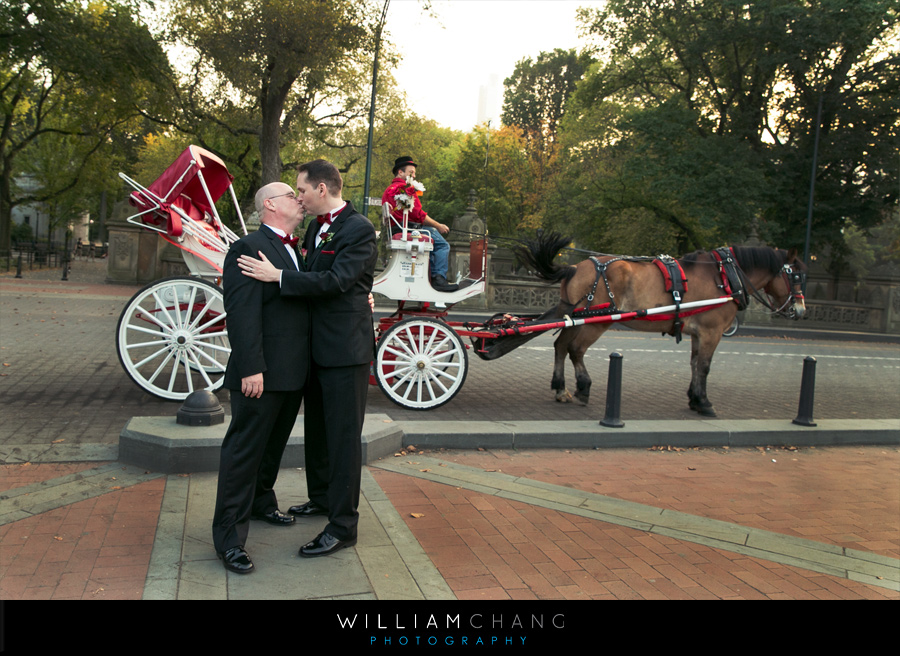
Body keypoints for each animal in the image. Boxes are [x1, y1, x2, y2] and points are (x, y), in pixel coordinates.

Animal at [496, 234, 804, 416]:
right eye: (797, 275)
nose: (799, 310)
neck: (725, 276)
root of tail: (575, 266)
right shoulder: (711, 331)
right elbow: (704, 366)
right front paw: (704, 403)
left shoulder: (698, 333)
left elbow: (694, 364)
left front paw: (694, 398)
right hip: (595, 323)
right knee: (575, 350)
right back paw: (582, 387)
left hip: (574, 316)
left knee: (561, 346)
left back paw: (562, 388)